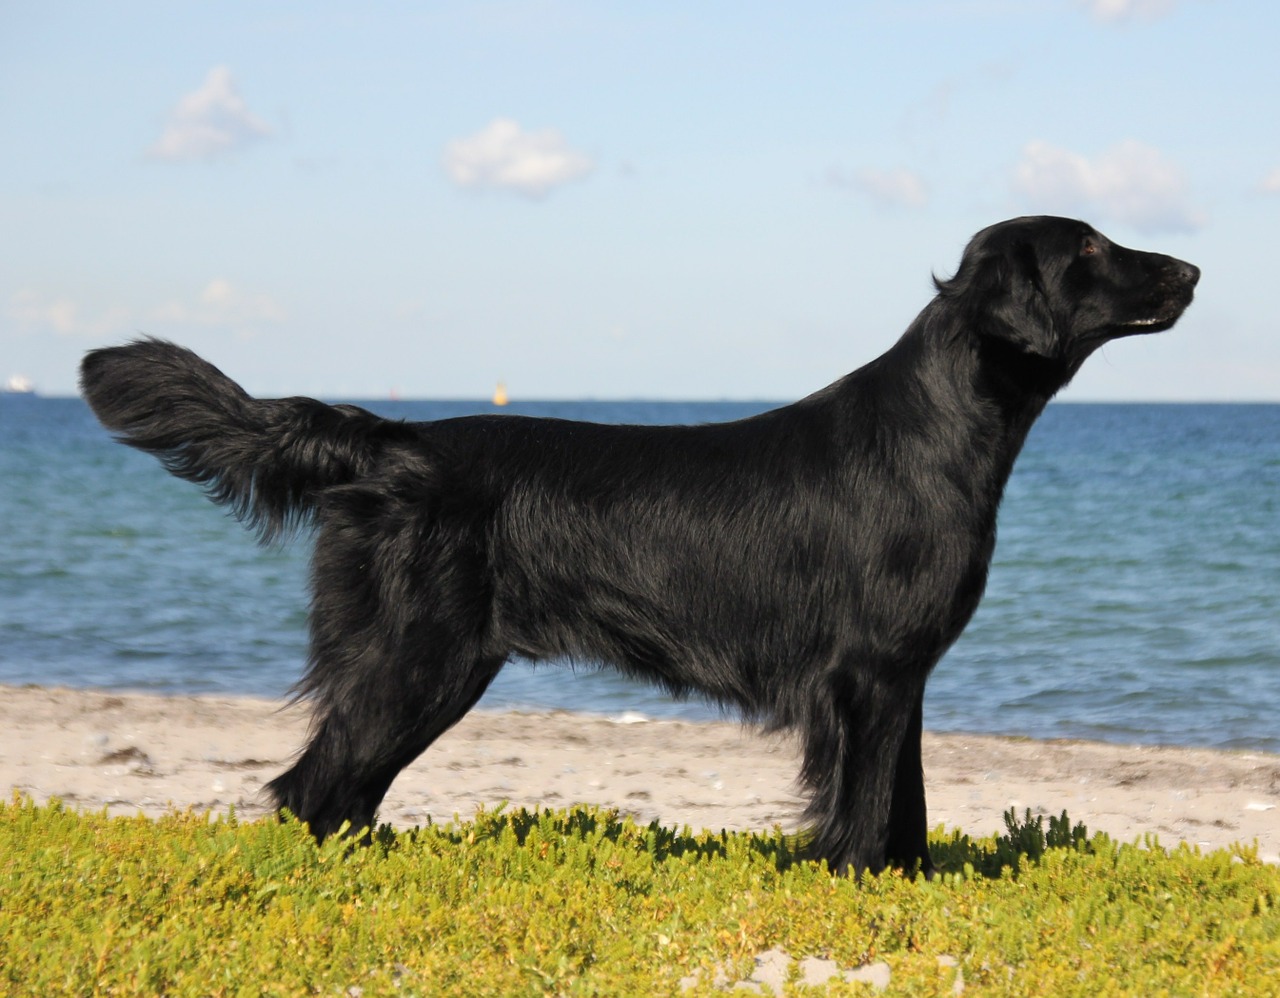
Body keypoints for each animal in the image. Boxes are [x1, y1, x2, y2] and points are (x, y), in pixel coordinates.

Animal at [80, 216, 1198, 875]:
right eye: (1088, 249)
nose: (1191, 265)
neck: (936, 428)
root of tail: (389, 438)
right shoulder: (867, 675)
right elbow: (863, 813)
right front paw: (856, 890)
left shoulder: (901, 677)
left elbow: (907, 809)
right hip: (417, 656)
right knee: (312, 787)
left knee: (340, 787)